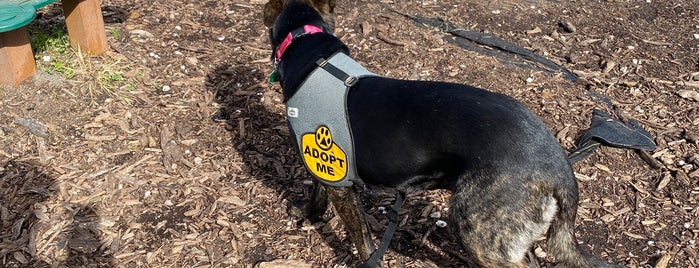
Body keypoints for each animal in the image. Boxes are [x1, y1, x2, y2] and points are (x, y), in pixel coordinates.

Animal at [262, 1, 628, 266]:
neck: (313, 54)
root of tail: (559, 168)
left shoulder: (337, 180)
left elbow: (361, 241)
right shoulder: (325, 170)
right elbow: (317, 194)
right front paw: (307, 214)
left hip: (475, 228)